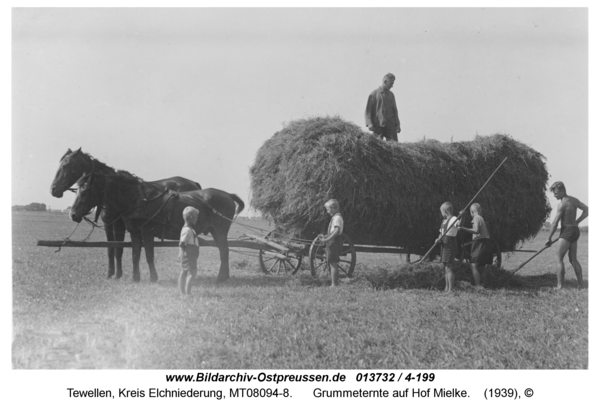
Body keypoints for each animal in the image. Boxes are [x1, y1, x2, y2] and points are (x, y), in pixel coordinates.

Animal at [51, 148, 202, 278]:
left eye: (67, 165)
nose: (53, 189)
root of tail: (194, 183)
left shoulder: (119, 226)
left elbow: (119, 249)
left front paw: (118, 274)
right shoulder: (108, 225)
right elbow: (110, 249)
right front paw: (111, 273)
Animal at [71, 171, 246, 282]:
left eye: (85, 190)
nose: (72, 214)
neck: (138, 199)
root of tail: (228, 194)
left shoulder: (147, 231)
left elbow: (149, 254)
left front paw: (153, 278)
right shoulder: (135, 232)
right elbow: (135, 254)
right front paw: (135, 278)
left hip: (220, 231)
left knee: (224, 251)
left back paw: (221, 278)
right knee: (224, 251)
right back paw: (224, 276)